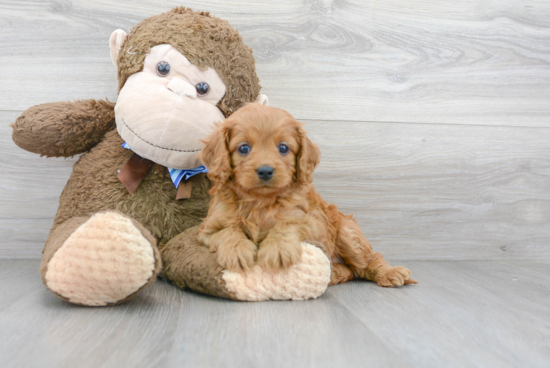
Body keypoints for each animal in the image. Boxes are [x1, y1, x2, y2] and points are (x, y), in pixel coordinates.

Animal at [198, 103, 418, 288]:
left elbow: (288, 222)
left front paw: (278, 248)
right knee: (349, 270)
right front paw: (237, 251)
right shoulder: (206, 229)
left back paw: (390, 273)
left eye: (283, 148)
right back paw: (334, 274)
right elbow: (227, 230)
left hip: (347, 232)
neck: (260, 201)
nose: (265, 171)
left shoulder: (313, 223)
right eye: (243, 148)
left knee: (367, 261)